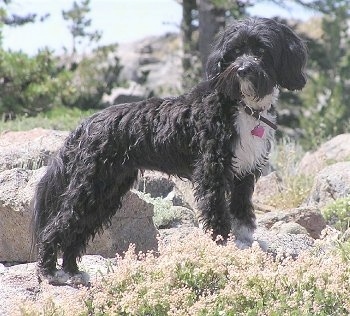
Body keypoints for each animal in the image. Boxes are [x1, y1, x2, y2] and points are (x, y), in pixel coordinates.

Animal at [32, 17, 306, 284]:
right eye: (235, 51)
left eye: (261, 51)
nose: (242, 70)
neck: (242, 105)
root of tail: (85, 124)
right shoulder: (212, 170)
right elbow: (217, 212)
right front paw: (223, 245)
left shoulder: (245, 173)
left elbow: (241, 211)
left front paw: (245, 242)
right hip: (92, 184)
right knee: (59, 225)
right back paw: (49, 272)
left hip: (107, 189)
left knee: (78, 229)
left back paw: (72, 271)